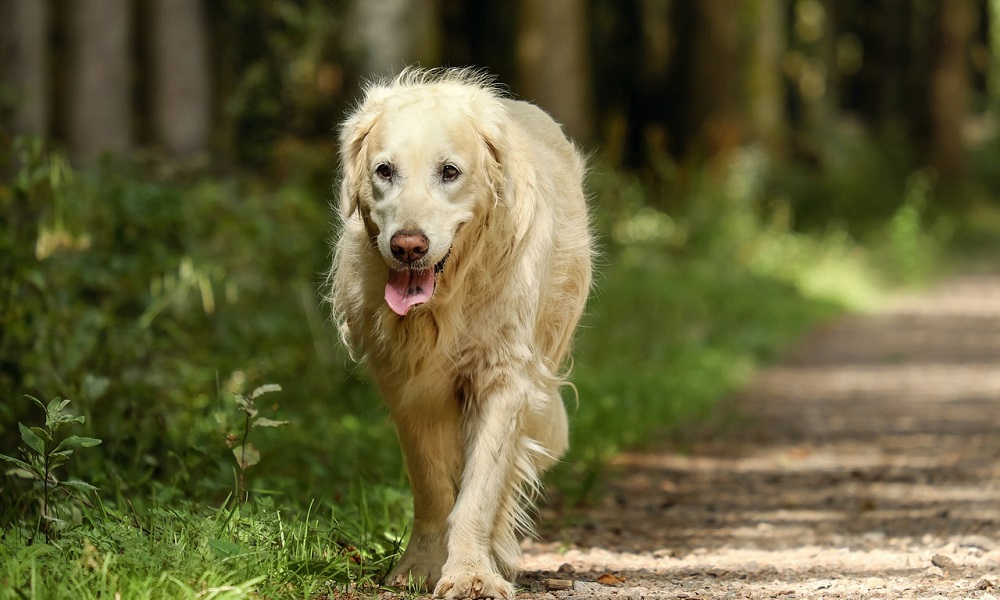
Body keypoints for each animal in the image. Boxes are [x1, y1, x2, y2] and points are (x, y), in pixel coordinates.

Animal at [328, 68, 592, 596]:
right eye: (384, 171)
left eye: (449, 172)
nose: (408, 246)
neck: (446, 300)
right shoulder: (406, 385)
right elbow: (431, 486)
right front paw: (421, 566)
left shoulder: (504, 377)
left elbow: (480, 489)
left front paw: (472, 573)